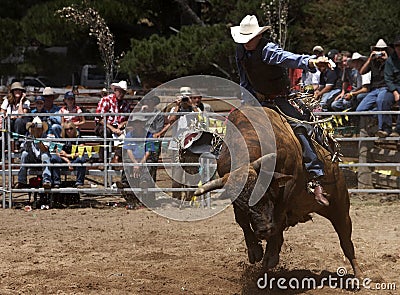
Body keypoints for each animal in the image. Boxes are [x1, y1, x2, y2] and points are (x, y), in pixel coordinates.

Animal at [193, 107, 362, 280]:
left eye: (265, 193)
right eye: (243, 204)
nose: (263, 230)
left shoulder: (287, 189)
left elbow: (278, 215)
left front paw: (270, 255)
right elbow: (242, 220)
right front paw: (255, 250)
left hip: (339, 207)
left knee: (346, 242)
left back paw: (359, 275)